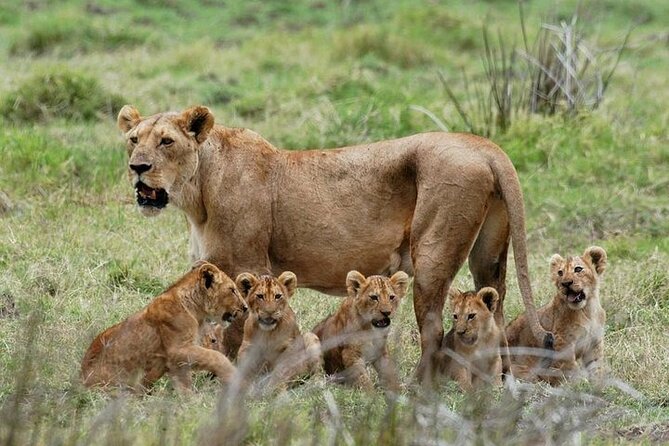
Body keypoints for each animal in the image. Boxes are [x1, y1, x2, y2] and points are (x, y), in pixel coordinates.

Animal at [80, 262, 248, 393]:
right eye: (232, 290)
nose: (245, 307)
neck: (197, 312)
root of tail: (80, 382)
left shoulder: (177, 361)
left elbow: (185, 384)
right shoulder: (177, 350)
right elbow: (215, 356)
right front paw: (233, 375)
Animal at [117, 104, 553, 383]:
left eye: (167, 142)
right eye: (133, 139)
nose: (137, 168)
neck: (197, 193)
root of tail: (486, 146)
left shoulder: (248, 264)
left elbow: (236, 332)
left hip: (433, 254)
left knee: (433, 327)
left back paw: (418, 389)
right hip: (489, 255)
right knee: (494, 311)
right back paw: (499, 383)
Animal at [506, 246, 607, 385]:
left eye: (578, 269)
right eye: (560, 273)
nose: (566, 283)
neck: (587, 309)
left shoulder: (594, 343)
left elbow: (596, 368)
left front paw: (598, 385)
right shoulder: (562, 341)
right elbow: (570, 368)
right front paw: (578, 385)